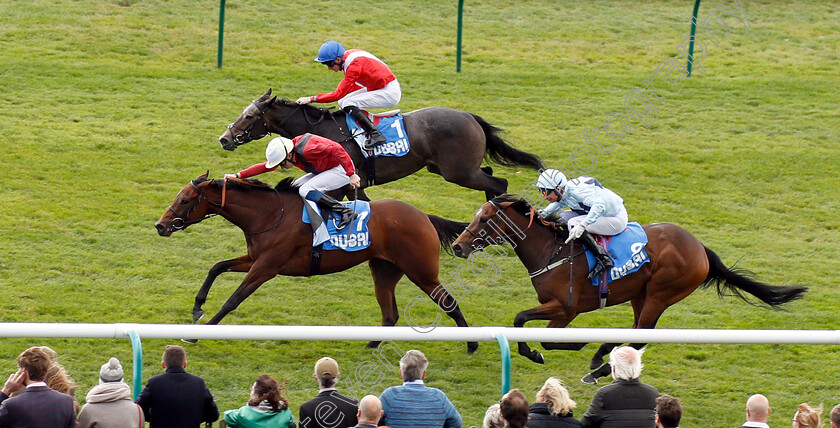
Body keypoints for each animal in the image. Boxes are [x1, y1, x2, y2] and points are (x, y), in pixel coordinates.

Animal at [153, 172, 476, 352]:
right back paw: (371, 343)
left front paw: (199, 334)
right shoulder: (255, 259)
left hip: (421, 271)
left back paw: (472, 344)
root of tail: (424, 216)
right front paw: (197, 308)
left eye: (184, 200)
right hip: (384, 270)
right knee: (390, 314)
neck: (270, 215)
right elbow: (217, 266)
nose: (160, 226)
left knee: (449, 302)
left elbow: (233, 299)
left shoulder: (265, 267)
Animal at [217, 88, 544, 201]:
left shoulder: (348, 178)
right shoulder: (351, 182)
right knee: (490, 177)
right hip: (446, 169)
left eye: (249, 116)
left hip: (458, 172)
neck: (324, 130)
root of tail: (469, 116)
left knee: (499, 183)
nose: (225, 138)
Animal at [452, 196, 808, 382]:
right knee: (635, 332)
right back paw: (602, 355)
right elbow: (530, 327)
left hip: (661, 293)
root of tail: (700, 248)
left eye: (484, 220)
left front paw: (560, 349)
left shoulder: (566, 308)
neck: (550, 250)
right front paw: (550, 350)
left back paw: (598, 365)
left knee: (640, 336)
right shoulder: (561, 311)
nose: (457, 246)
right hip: (641, 293)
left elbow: (533, 329)